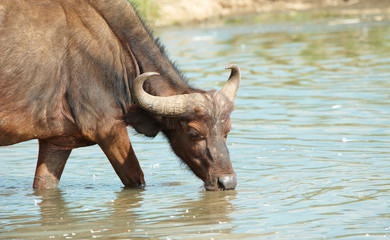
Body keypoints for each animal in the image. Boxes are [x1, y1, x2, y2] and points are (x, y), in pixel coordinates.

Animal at [0, 0, 239, 191]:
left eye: (227, 131)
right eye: (193, 133)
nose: (226, 182)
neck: (119, 52)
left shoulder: (57, 142)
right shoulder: (108, 129)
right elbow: (136, 179)